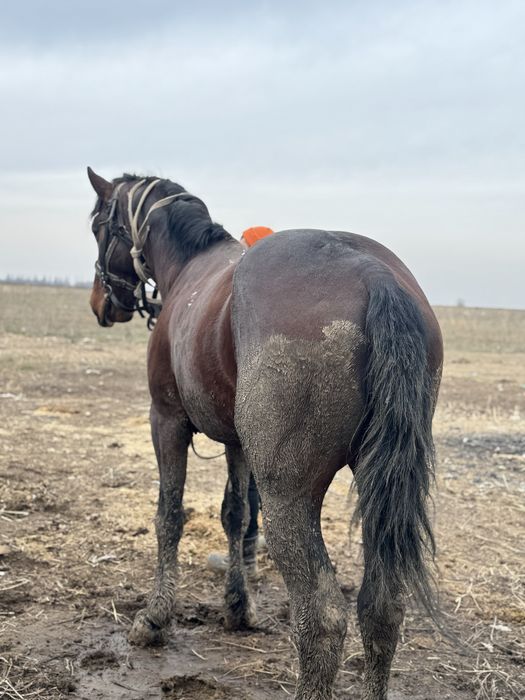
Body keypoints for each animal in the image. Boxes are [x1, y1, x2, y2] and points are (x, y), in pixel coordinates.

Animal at [86, 167, 443, 700]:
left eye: (97, 228)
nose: (100, 303)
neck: (189, 267)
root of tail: (372, 273)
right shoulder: (238, 444)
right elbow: (234, 515)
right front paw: (239, 606)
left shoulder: (165, 420)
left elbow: (170, 515)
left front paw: (155, 617)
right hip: (381, 481)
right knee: (382, 608)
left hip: (288, 497)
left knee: (323, 616)